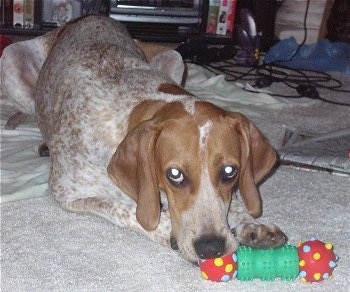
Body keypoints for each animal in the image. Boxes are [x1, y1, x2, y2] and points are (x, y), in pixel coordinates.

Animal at [1, 14, 288, 262]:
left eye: (230, 172)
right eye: (175, 175)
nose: (211, 248)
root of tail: (87, 16)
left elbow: (234, 204)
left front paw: (251, 224)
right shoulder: (70, 193)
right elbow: (130, 213)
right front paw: (165, 229)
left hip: (175, 56)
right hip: (11, 58)